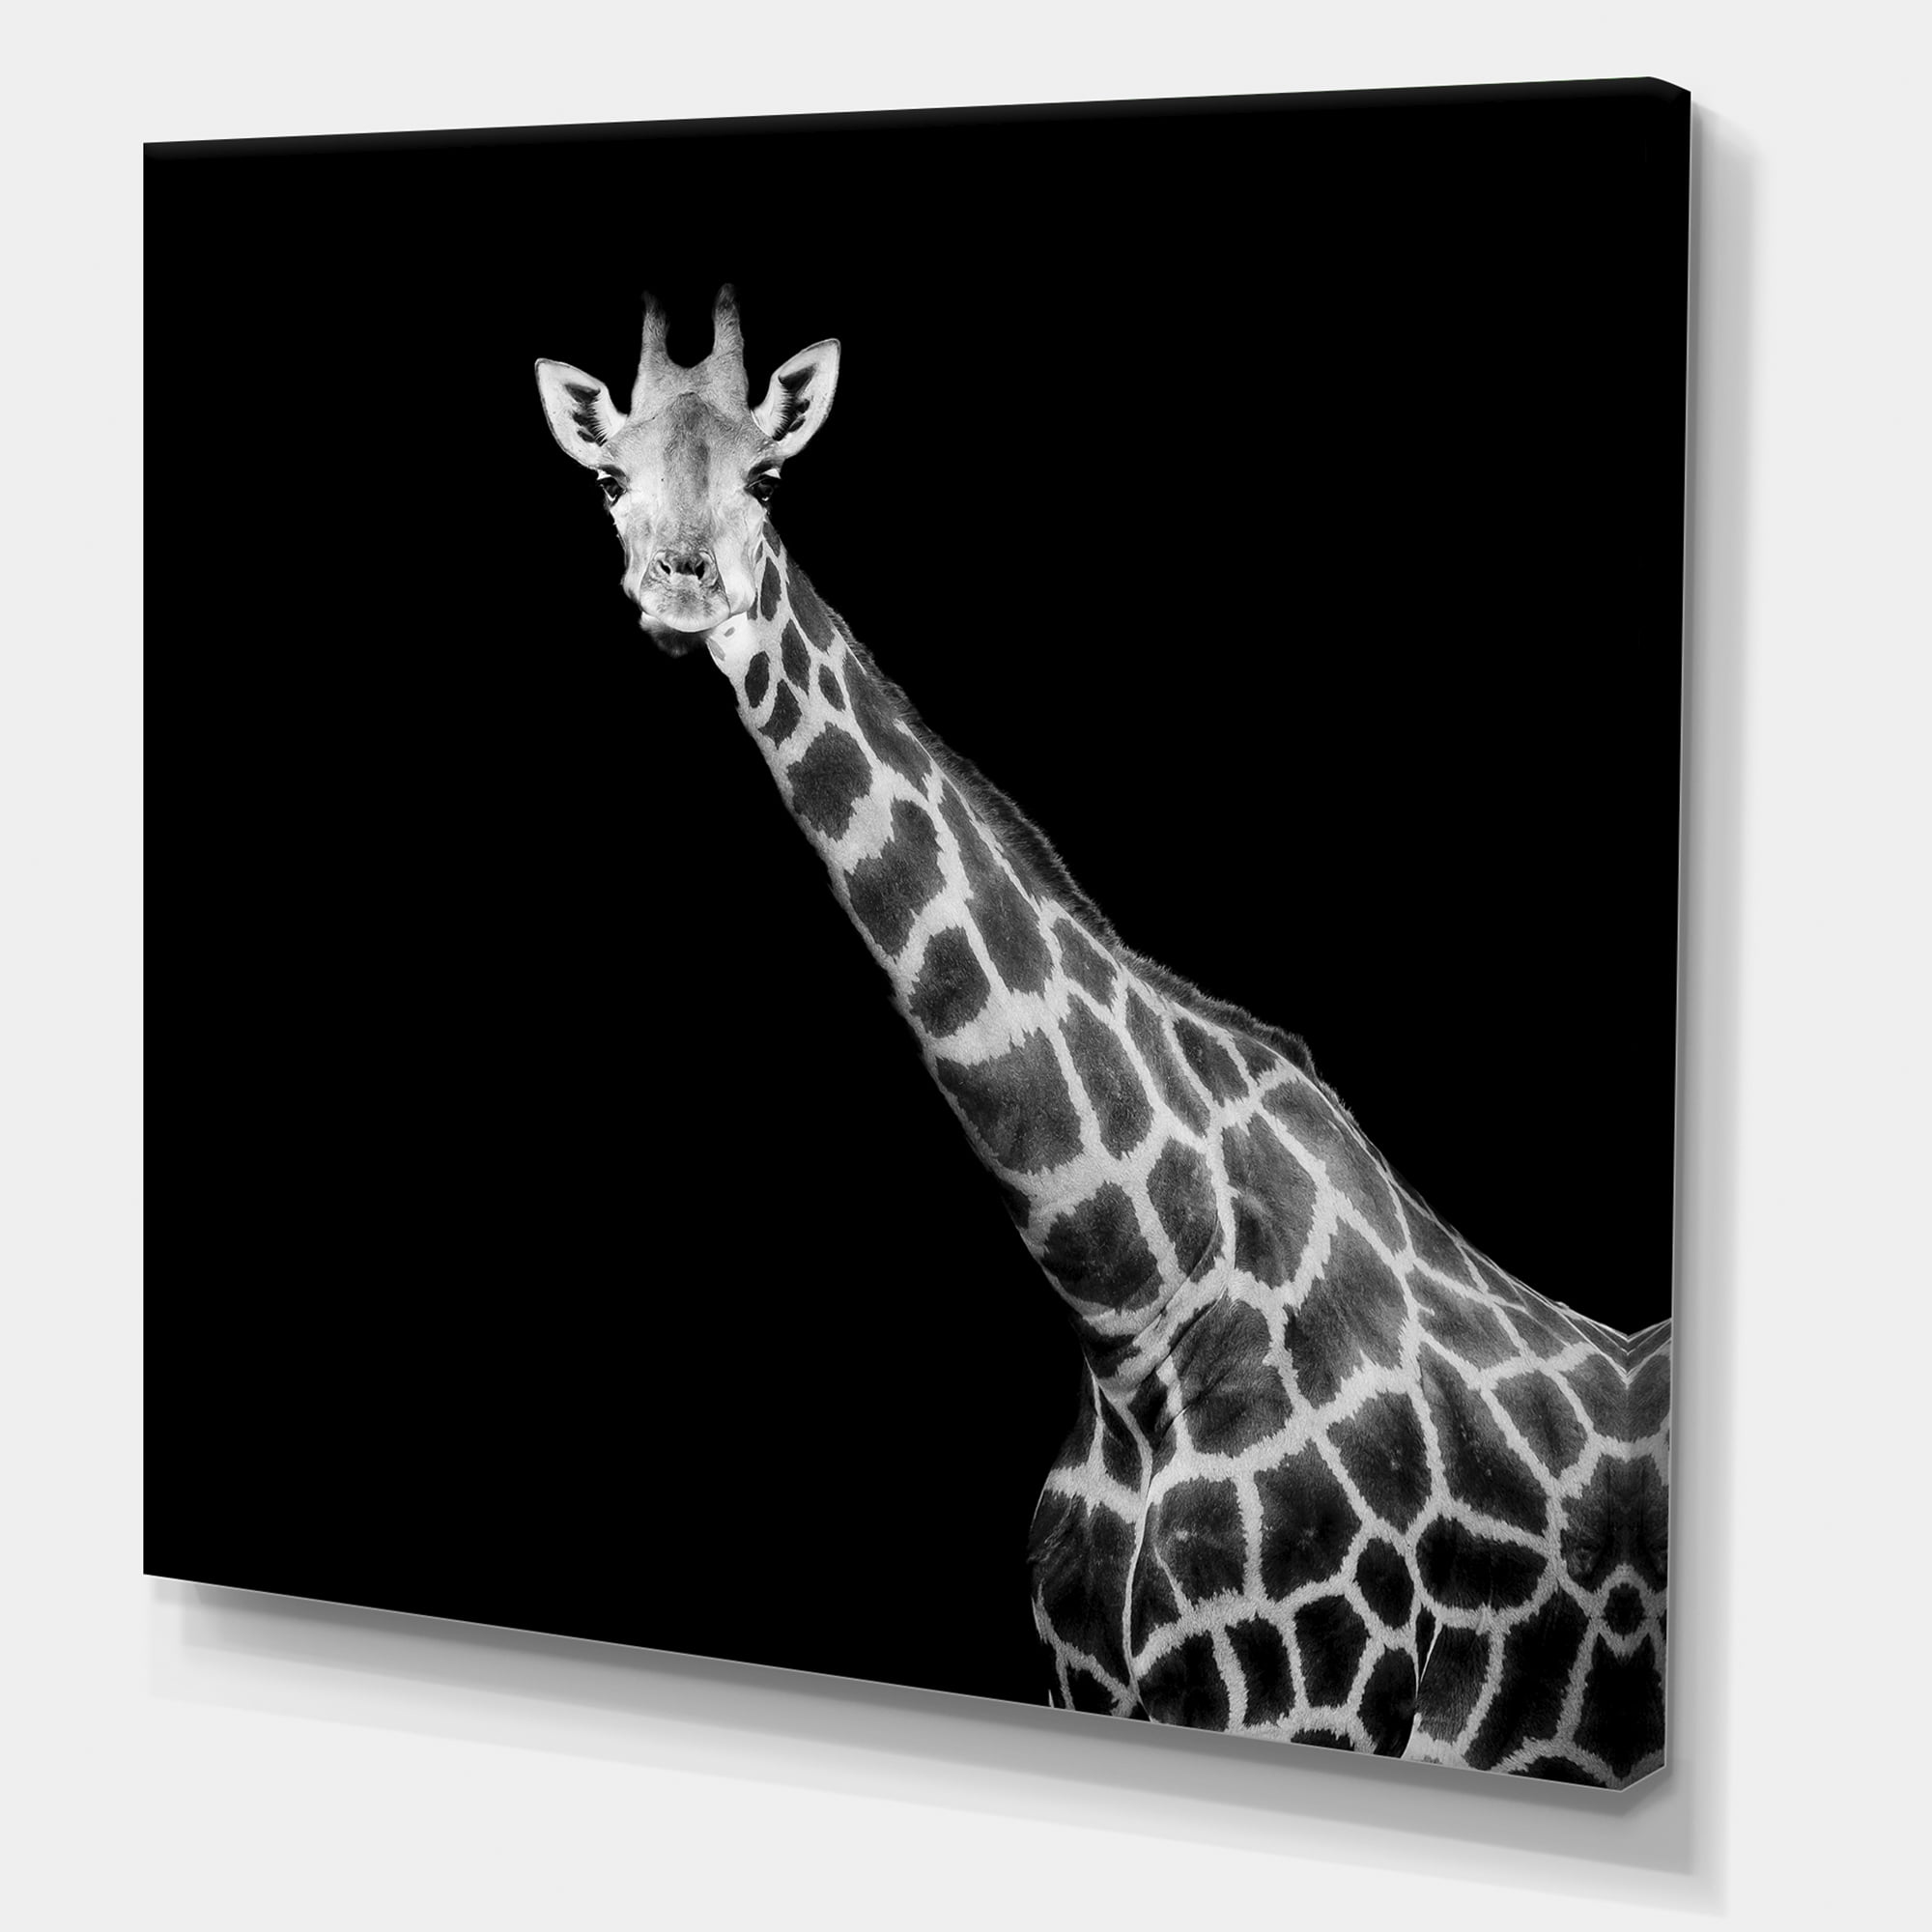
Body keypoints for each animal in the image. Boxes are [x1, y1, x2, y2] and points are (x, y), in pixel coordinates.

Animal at [534, 288, 1672, 1787]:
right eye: (610, 480)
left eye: (769, 477)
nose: (680, 587)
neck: (1135, 1304)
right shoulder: (1087, 1686)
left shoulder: (1308, 1702)